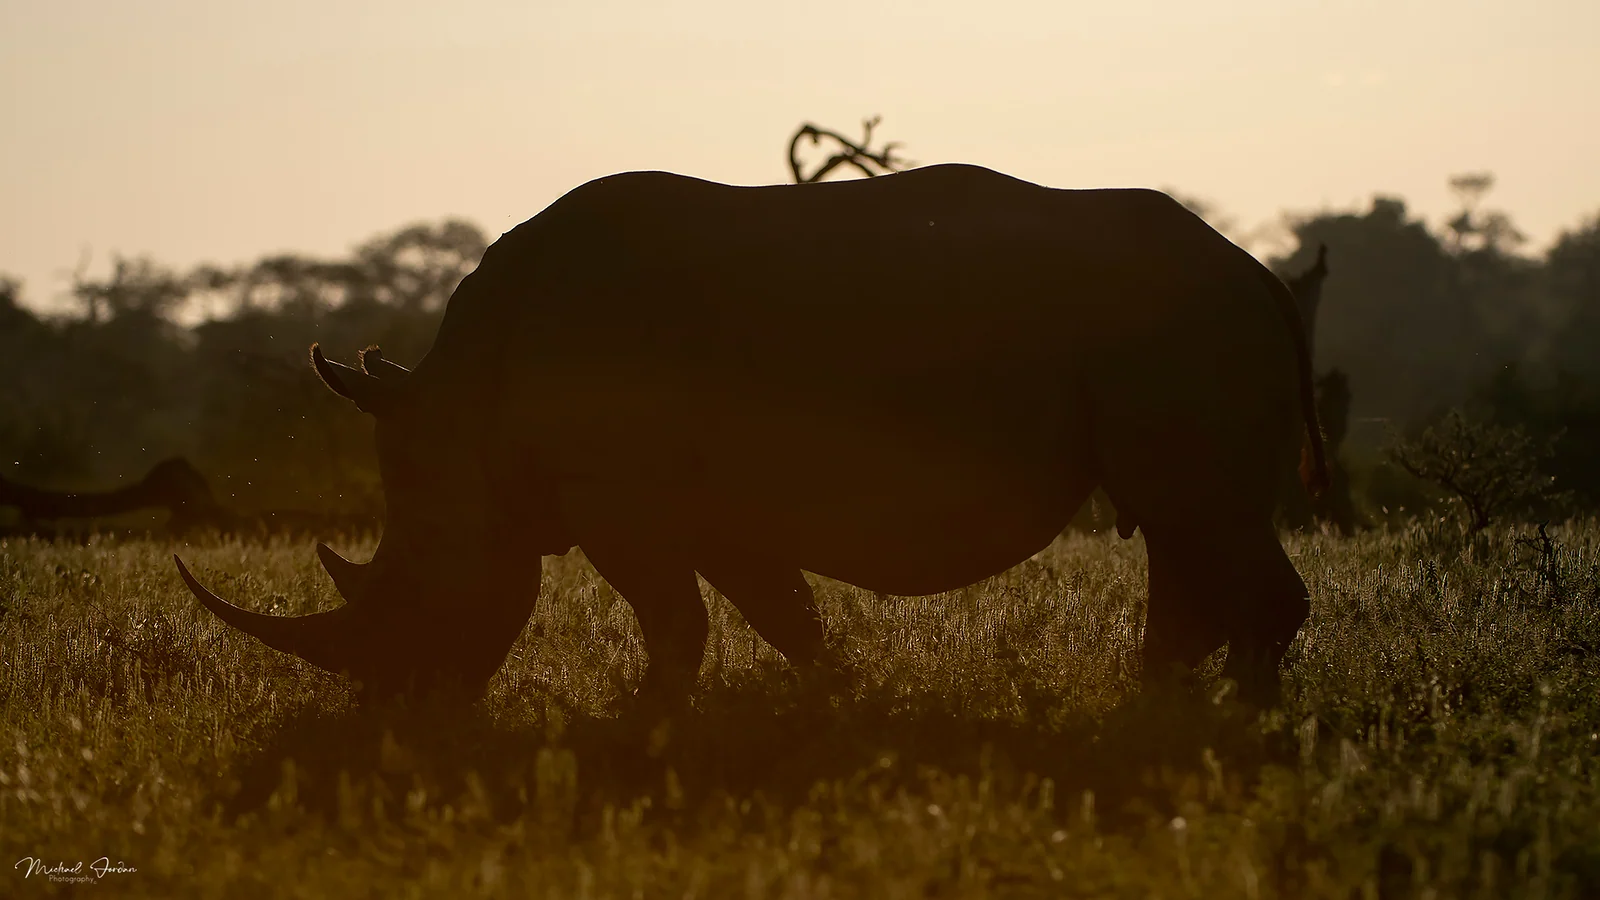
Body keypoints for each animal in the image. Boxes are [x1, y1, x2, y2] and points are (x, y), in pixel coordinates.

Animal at [176, 163, 1325, 704]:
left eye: (414, 594)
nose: (399, 708)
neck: (462, 416)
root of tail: (1259, 275)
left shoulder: (620, 498)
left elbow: (675, 620)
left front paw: (639, 730)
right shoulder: (706, 502)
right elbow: (782, 613)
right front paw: (839, 705)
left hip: (1176, 324)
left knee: (1196, 518)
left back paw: (1237, 732)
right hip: (1162, 334)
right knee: (1181, 528)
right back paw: (1160, 714)